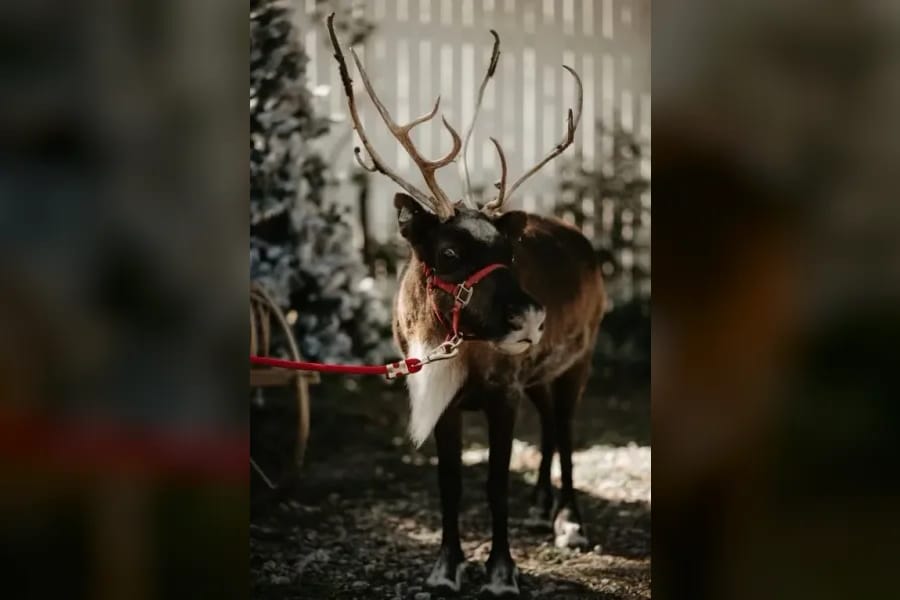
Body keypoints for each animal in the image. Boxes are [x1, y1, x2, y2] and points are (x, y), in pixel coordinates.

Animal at [327, 15, 605, 597]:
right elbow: (450, 484)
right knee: (549, 427)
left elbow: (495, 483)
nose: (533, 318)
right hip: (540, 371)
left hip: (580, 358)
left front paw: (501, 571)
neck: (458, 348)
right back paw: (541, 503)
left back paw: (568, 520)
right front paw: (445, 567)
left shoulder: (503, 392)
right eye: (450, 254)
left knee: (566, 431)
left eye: (509, 252)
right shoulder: (448, 401)